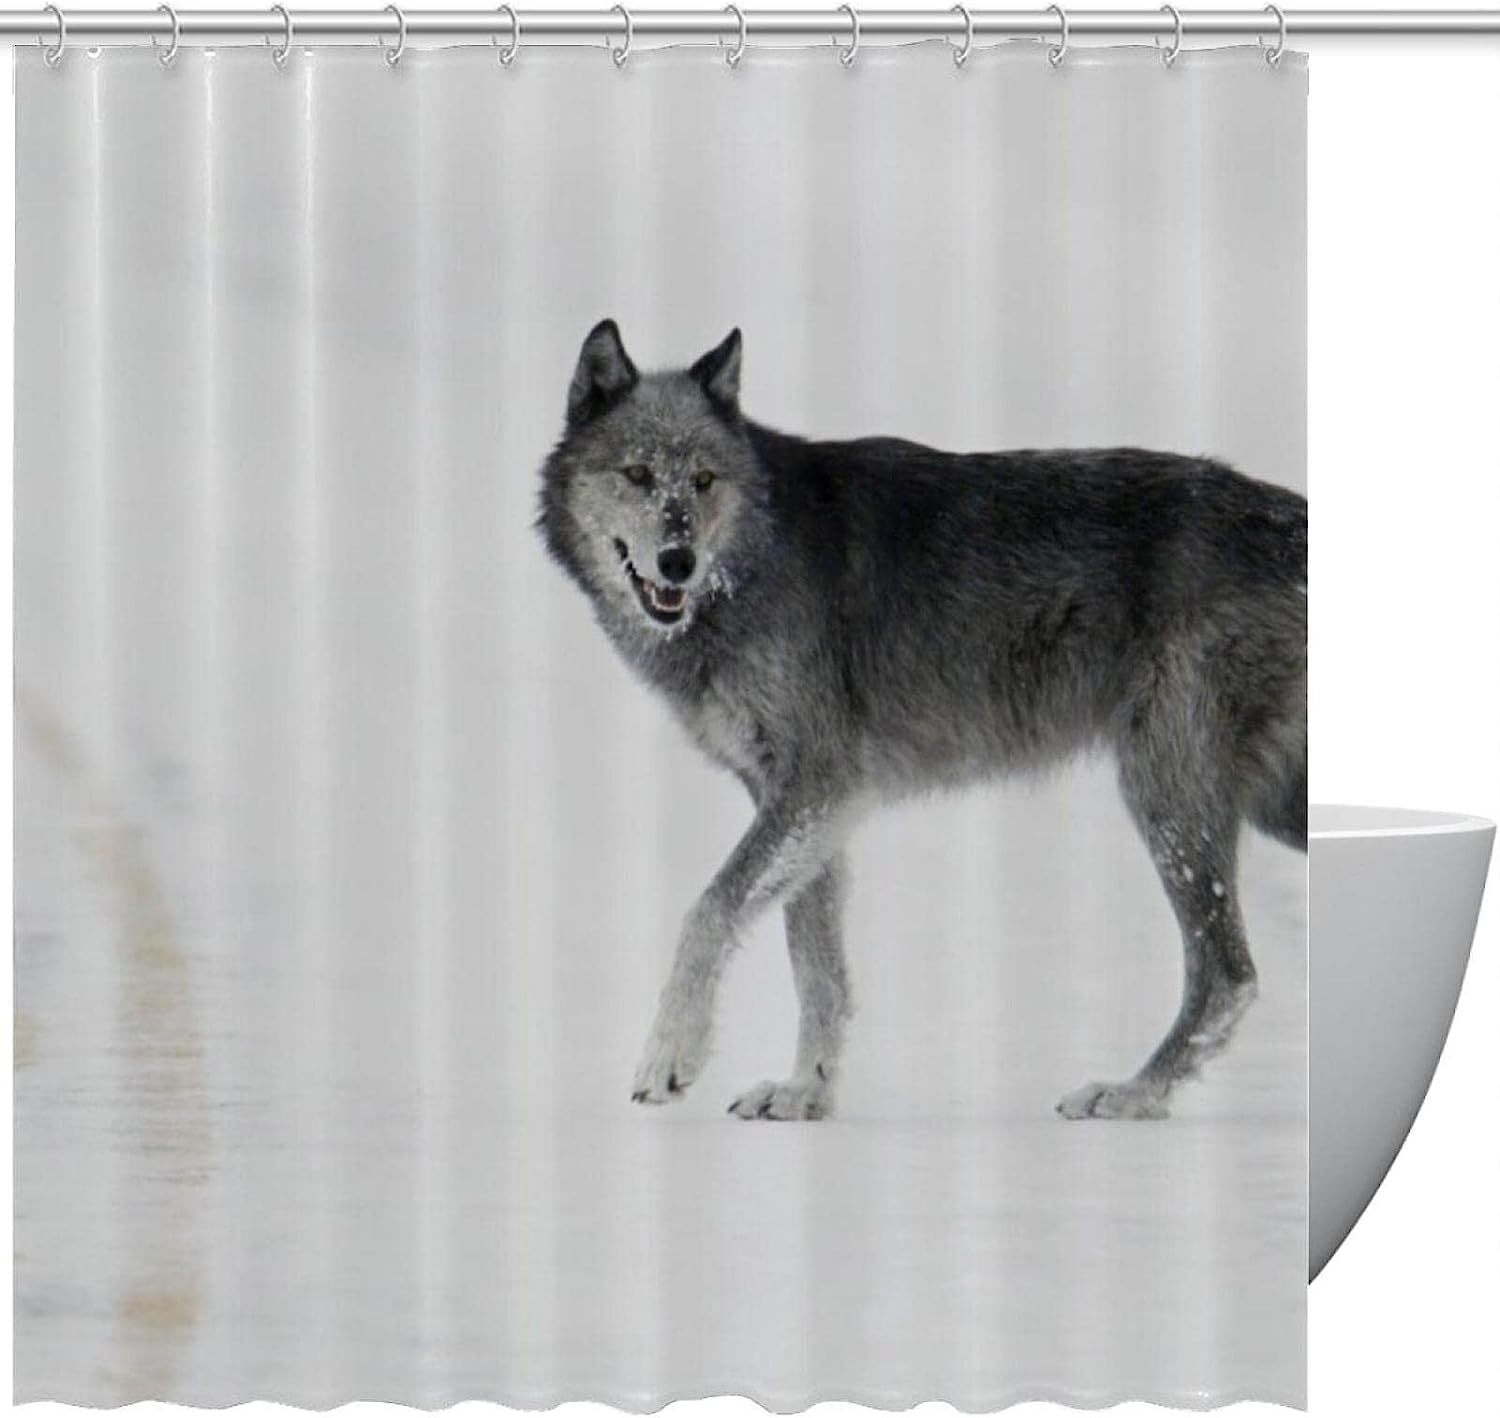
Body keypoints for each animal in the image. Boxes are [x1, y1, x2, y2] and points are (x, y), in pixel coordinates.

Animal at [538, 320, 1307, 1122]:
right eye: (636, 475)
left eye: (703, 482)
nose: (678, 561)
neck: (753, 562)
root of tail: (1290, 517)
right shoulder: (804, 803)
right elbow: (818, 968)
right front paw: (805, 1093)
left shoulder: (818, 785)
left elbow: (708, 912)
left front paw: (669, 1058)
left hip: (1170, 797)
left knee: (1228, 975)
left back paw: (1129, 1095)